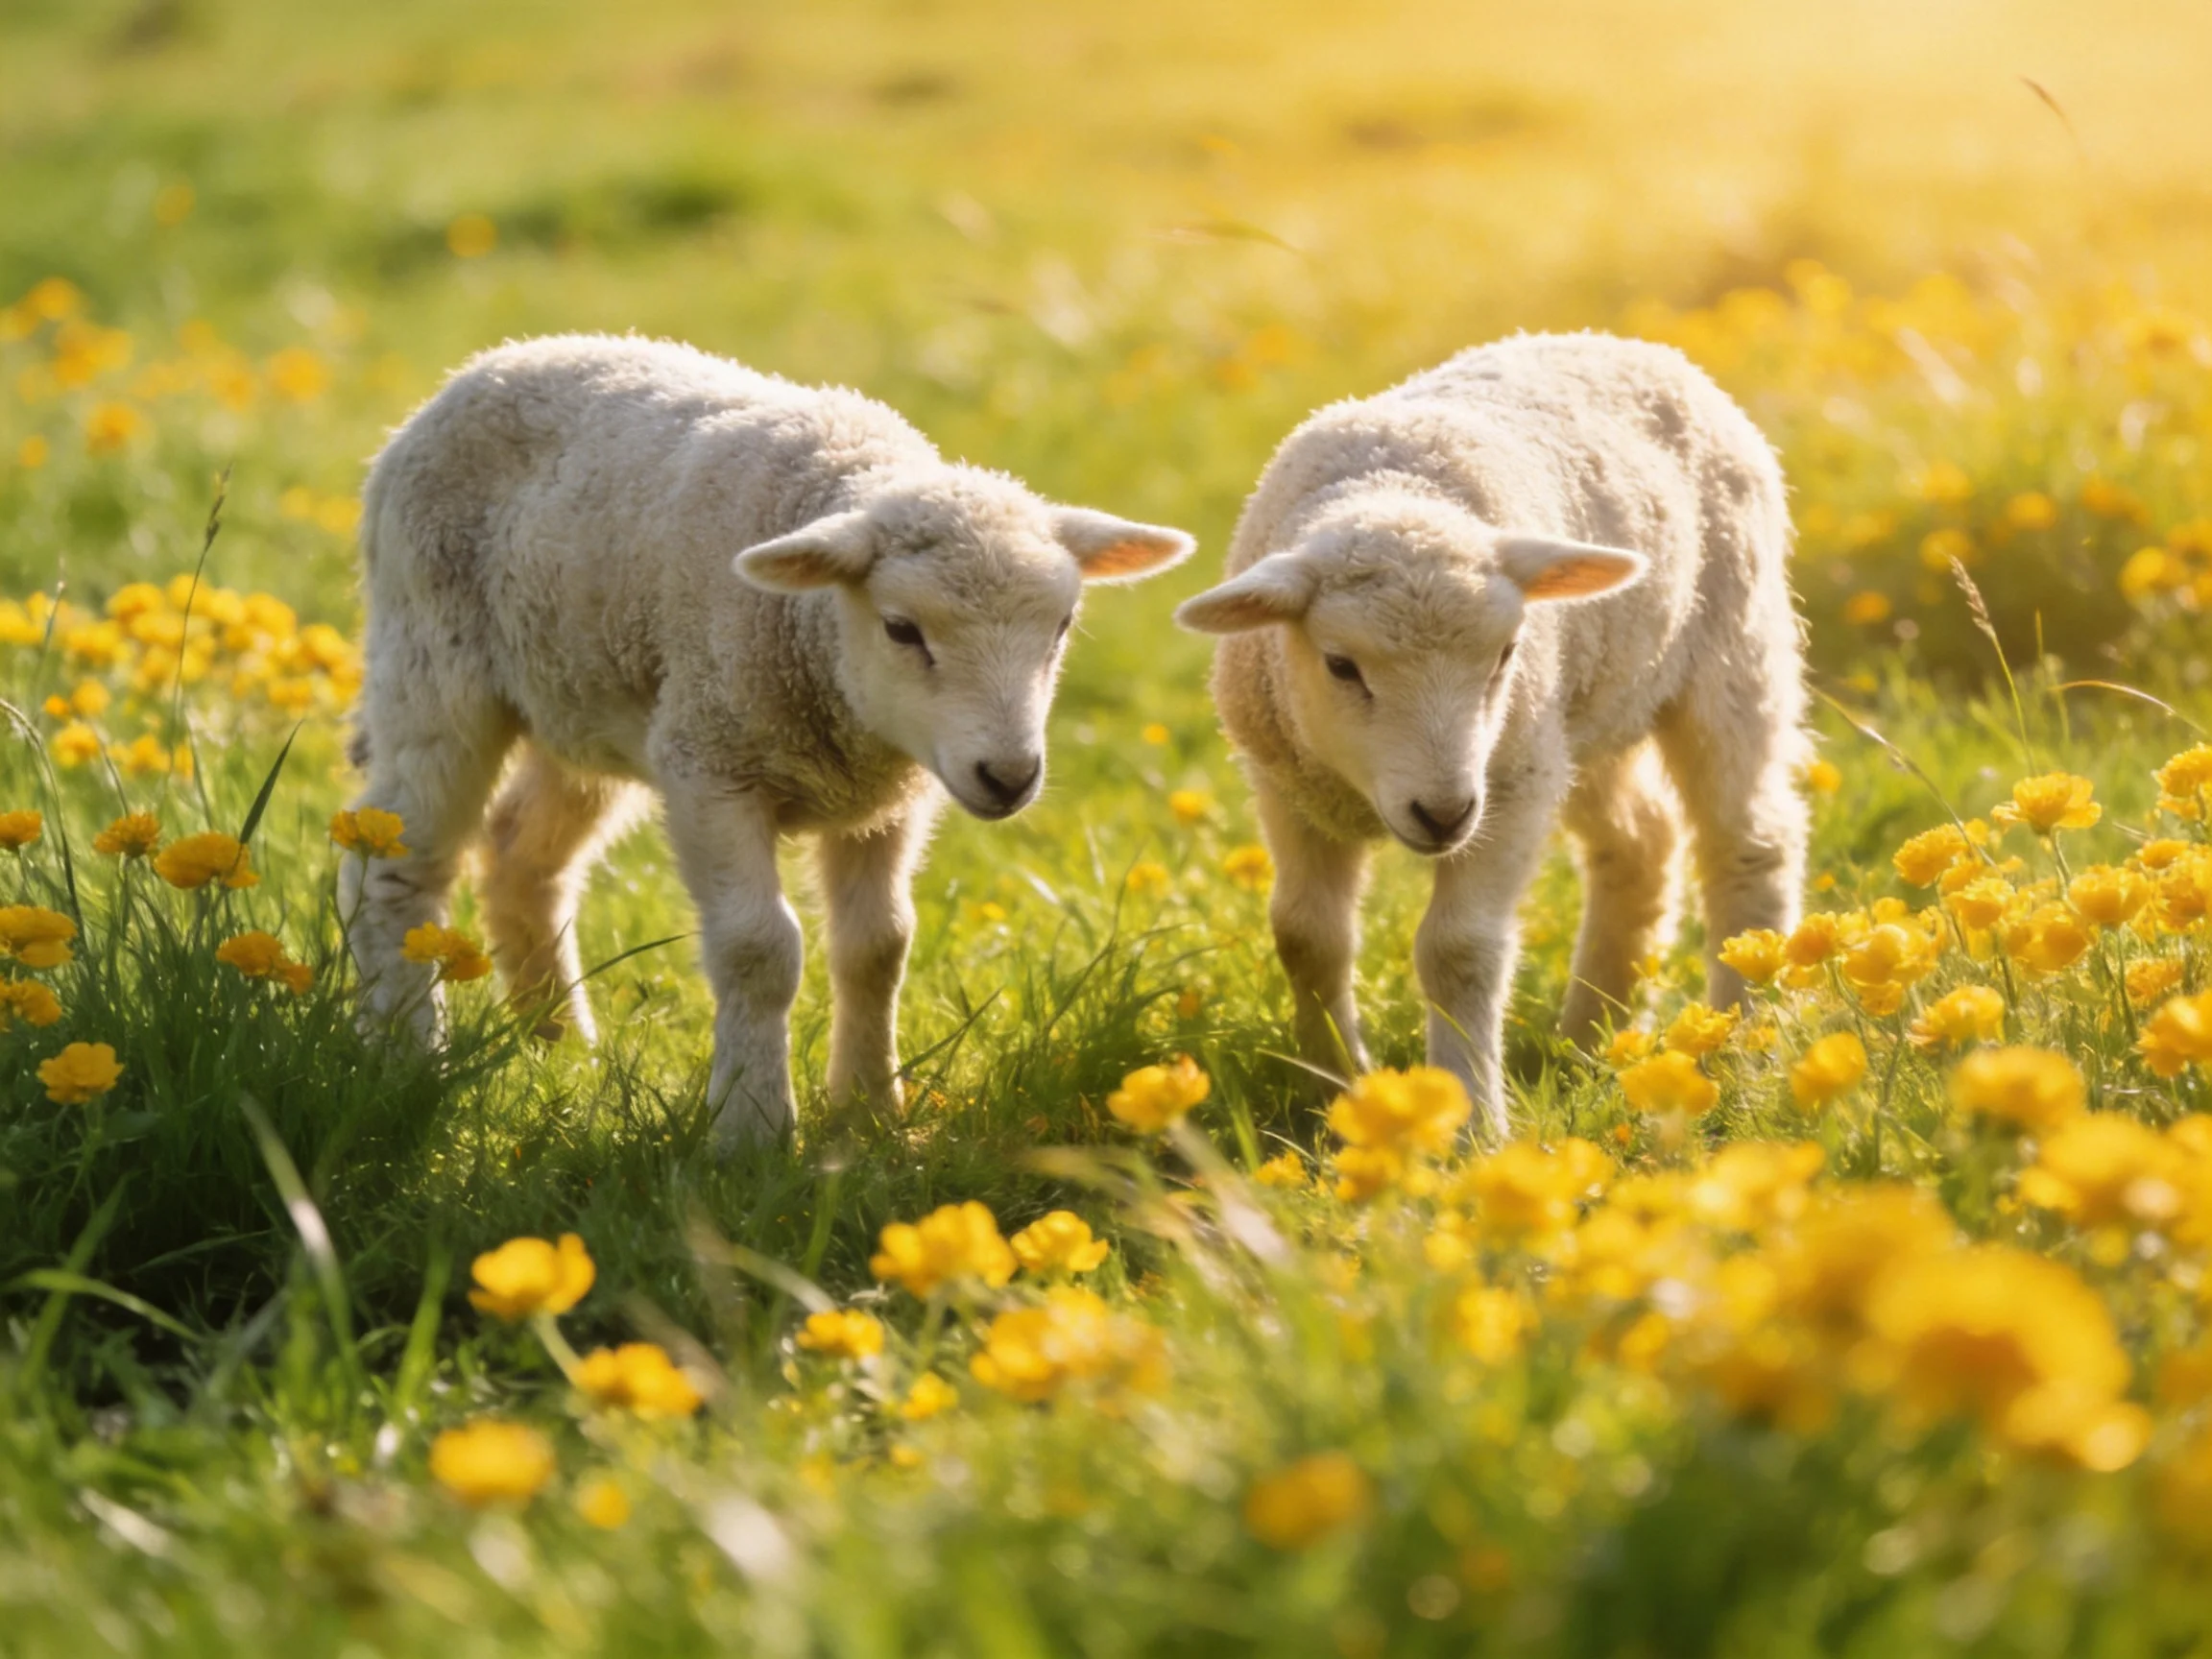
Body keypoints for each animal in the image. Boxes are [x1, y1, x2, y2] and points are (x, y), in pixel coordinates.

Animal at [342, 333, 1192, 1148]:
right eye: (901, 629)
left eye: (1063, 624)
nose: (1009, 775)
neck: (814, 638)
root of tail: (483, 366)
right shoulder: (710, 765)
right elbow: (759, 949)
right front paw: (751, 1128)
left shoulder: (889, 797)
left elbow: (879, 946)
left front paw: (869, 1113)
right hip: (434, 664)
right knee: (391, 867)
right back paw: (408, 1057)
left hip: (585, 702)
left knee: (522, 857)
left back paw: (561, 1048)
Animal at [1176, 331, 1807, 1139]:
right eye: (1340, 665)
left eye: (1505, 653)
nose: (1443, 813)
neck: (1395, 484)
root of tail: (1633, 344)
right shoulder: (1287, 781)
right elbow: (1304, 934)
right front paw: (1339, 1088)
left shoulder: (1507, 788)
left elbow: (1460, 950)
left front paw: (1474, 1120)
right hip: (1580, 711)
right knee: (1640, 842)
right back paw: (1590, 1038)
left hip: (1726, 652)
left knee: (1751, 841)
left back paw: (1740, 1045)